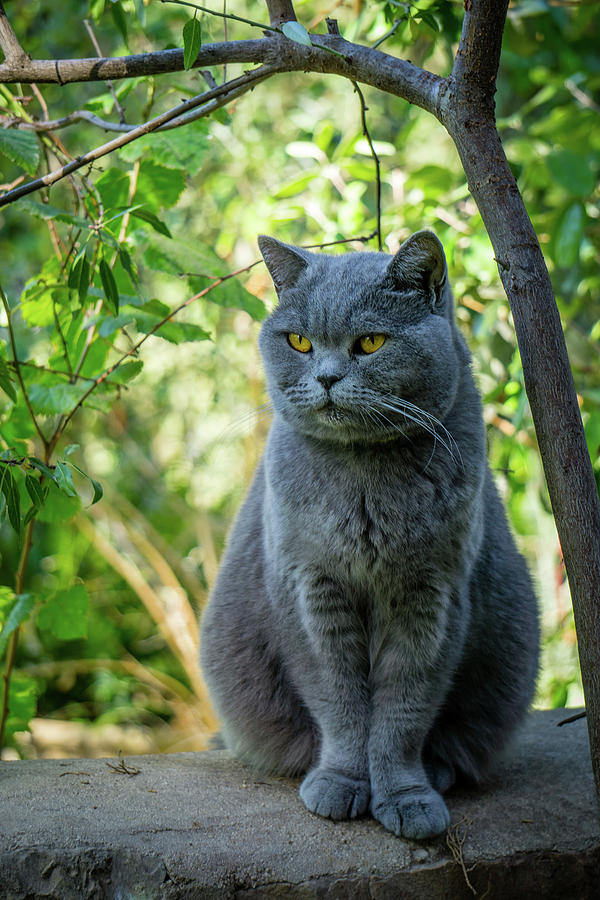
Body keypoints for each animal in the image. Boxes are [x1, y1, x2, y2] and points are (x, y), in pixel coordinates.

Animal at [200, 230, 540, 836]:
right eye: (299, 341)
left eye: (372, 342)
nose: (327, 378)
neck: (362, 481)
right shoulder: (310, 587)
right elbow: (338, 698)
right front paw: (341, 783)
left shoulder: (433, 592)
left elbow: (405, 704)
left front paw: (406, 797)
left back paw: (439, 772)